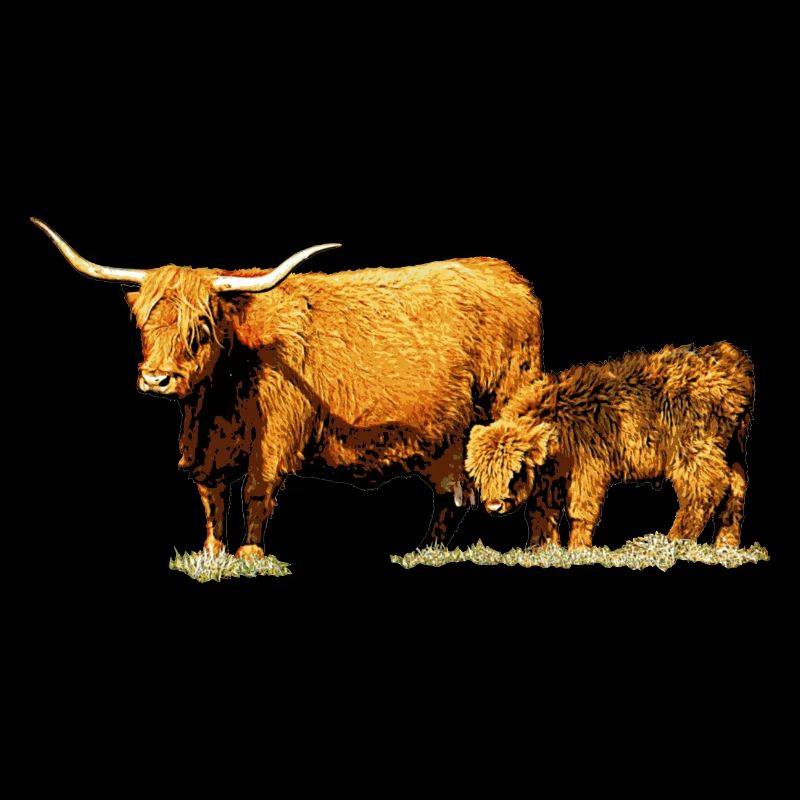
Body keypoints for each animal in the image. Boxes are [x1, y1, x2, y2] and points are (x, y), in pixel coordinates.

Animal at [33, 218, 542, 558]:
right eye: (144, 323)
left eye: (200, 325)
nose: (156, 378)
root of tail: (503, 274)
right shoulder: (207, 444)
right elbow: (211, 495)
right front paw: (212, 551)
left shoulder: (276, 432)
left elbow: (257, 490)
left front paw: (249, 554)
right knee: (451, 495)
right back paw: (428, 549)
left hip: (508, 406)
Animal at [465, 343, 754, 549]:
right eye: (478, 476)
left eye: (515, 472)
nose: (493, 506)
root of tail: (730, 362)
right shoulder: (550, 480)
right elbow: (542, 512)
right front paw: (540, 549)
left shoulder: (589, 471)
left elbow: (580, 511)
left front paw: (578, 550)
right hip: (733, 451)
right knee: (734, 491)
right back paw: (724, 546)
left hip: (693, 452)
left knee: (704, 491)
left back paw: (673, 540)